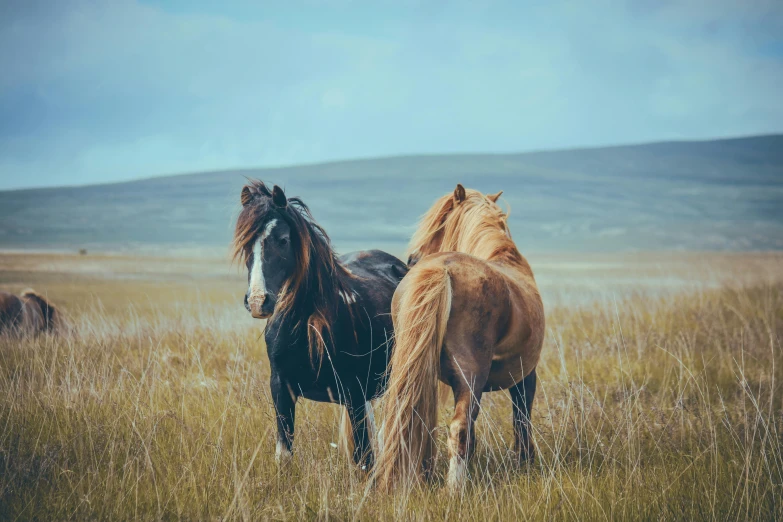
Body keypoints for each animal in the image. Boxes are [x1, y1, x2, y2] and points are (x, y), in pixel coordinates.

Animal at [233, 180, 408, 468]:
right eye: (245, 243)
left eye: (283, 240)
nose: (258, 301)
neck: (307, 326)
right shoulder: (281, 388)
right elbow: (284, 454)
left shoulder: (355, 393)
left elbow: (365, 457)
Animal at [376, 185, 544, 490]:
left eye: (439, 222)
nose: (411, 259)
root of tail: (442, 269)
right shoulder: (525, 375)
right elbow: (521, 419)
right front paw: (525, 463)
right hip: (471, 377)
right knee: (459, 428)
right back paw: (455, 489)